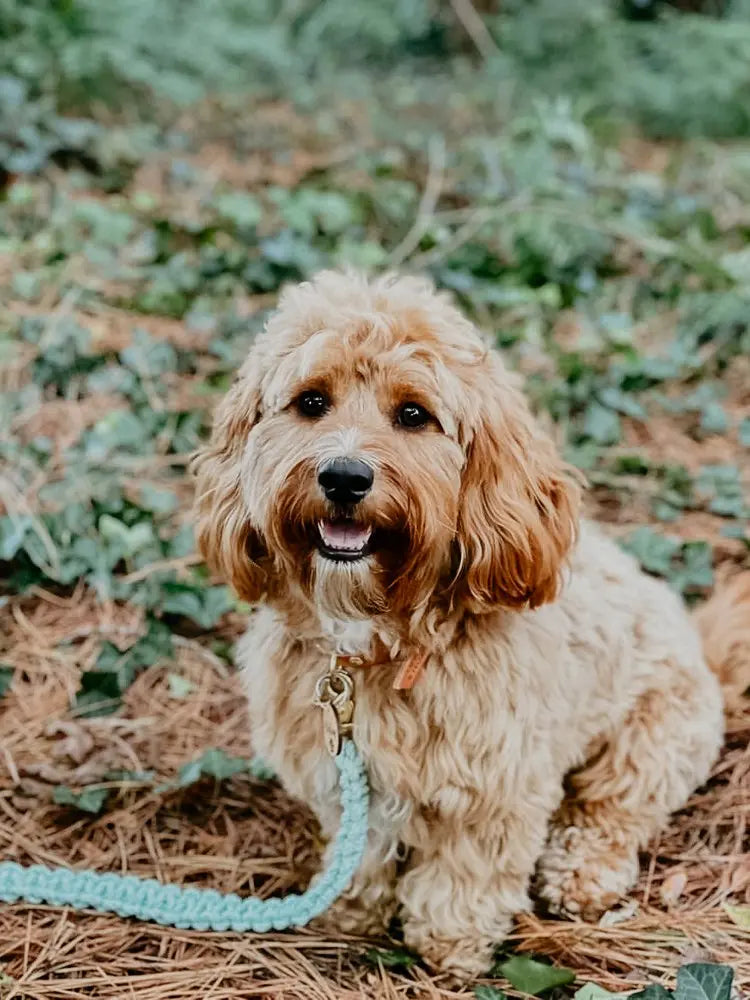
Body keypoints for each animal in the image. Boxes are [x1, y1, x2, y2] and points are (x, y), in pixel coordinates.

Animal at [194, 272, 750, 976]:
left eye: (413, 415)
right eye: (311, 401)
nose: (344, 476)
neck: (381, 639)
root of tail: (704, 651)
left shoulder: (498, 786)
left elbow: (464, 876)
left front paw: (448, 945)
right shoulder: (342, 778)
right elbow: (364, 849)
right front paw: (352, 908)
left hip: (656, 734)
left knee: (612, 809)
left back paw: (581, 872)